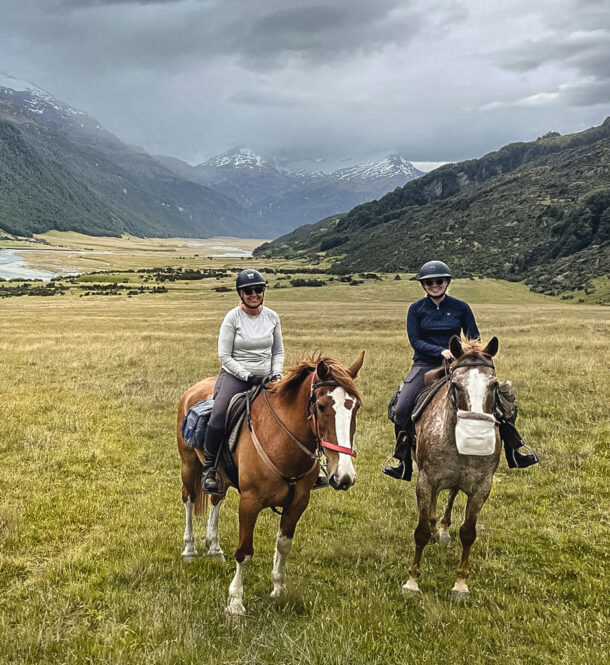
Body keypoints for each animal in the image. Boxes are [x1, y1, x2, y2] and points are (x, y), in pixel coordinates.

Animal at [177, 352, 364, 615]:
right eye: (321, 406)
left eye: (355, 406)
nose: (344, 476)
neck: (281, 439)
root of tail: (192, 391)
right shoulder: (249, 503)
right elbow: (244, 551)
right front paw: (235, 602)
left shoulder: (297, 503)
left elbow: (283, 545)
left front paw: (278, 589)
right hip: (189, 465)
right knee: (189, 499)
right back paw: (189, 549)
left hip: (219, 476)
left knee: (216, 499)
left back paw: (214, 547)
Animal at [403, 336, 501, 601]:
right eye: (456, 385)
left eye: (494, 385)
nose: (476, 437)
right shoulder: (426, 480)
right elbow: (420, 530)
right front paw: (412, 582)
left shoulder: (481, 488)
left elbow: (468, 533)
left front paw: (460, 585)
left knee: (452, 494)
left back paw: (444, 529)